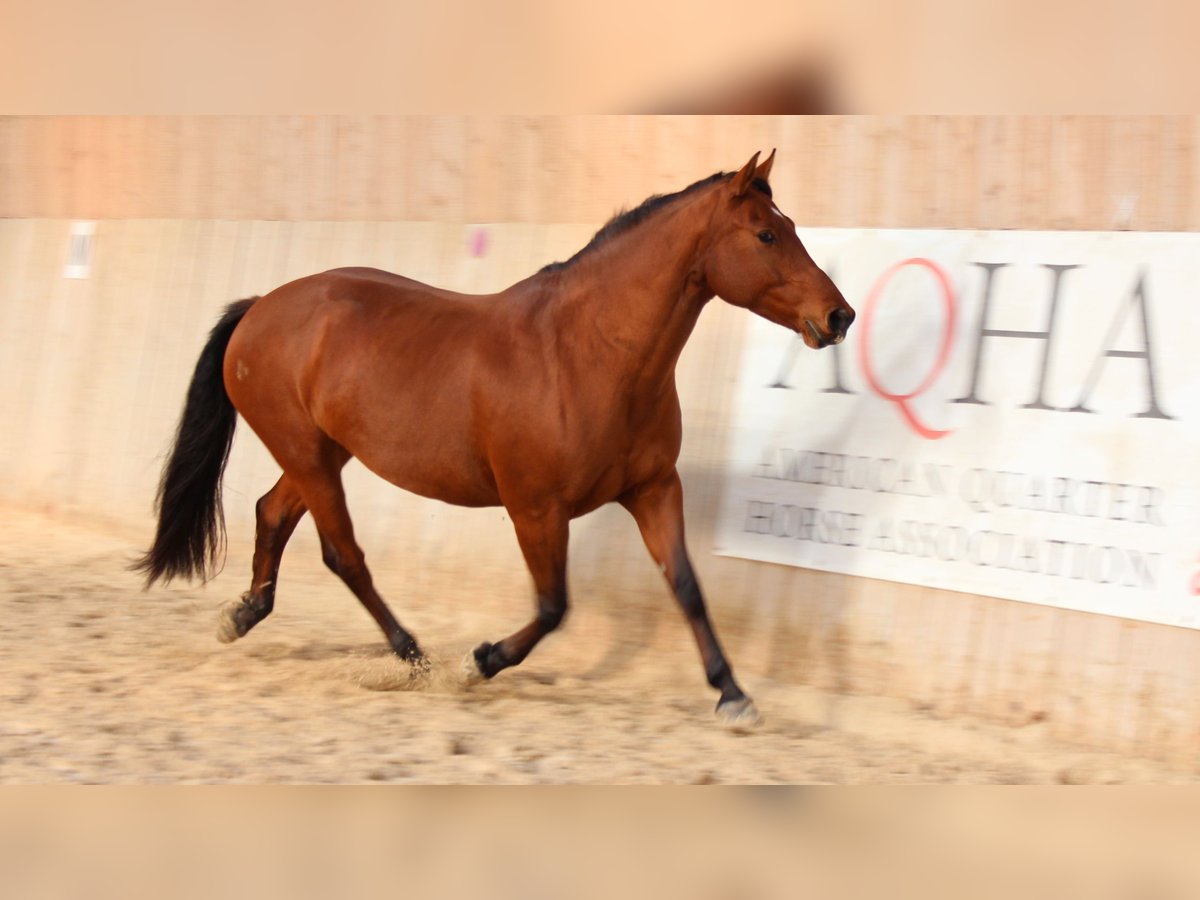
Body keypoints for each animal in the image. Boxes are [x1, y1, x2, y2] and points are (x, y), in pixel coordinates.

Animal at [136, 151, 854, 729]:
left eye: (791, 227)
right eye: (766, 233)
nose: (839, 316)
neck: (589, 353)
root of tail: (260, 307)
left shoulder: (652, 490)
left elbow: (685, 586)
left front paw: (734, 696)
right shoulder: (535, 508)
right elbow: (554, 605)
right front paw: (478, 662)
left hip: (322, 452)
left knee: (273, 513)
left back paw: (243, 615)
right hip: (310, 456)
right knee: (344, 554)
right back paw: (415, 657)